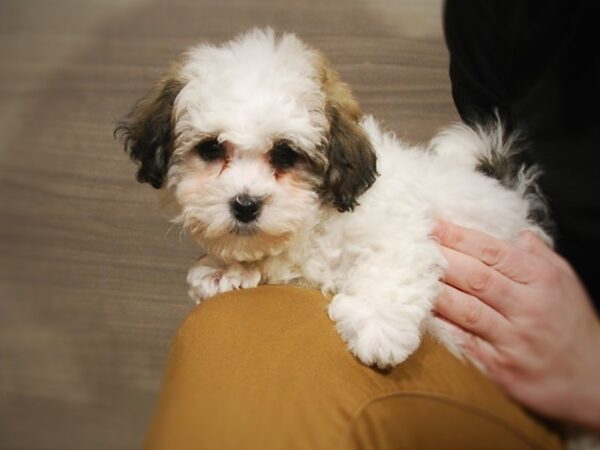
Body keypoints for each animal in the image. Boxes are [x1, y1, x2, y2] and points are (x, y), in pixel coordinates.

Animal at [115, 29, 552, 370]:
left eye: (285, 154)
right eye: (210, 149)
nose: (245, 205)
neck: (316, 219)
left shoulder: (404, 229)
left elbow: (392, 269)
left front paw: (377, 327)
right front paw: (226, 269)